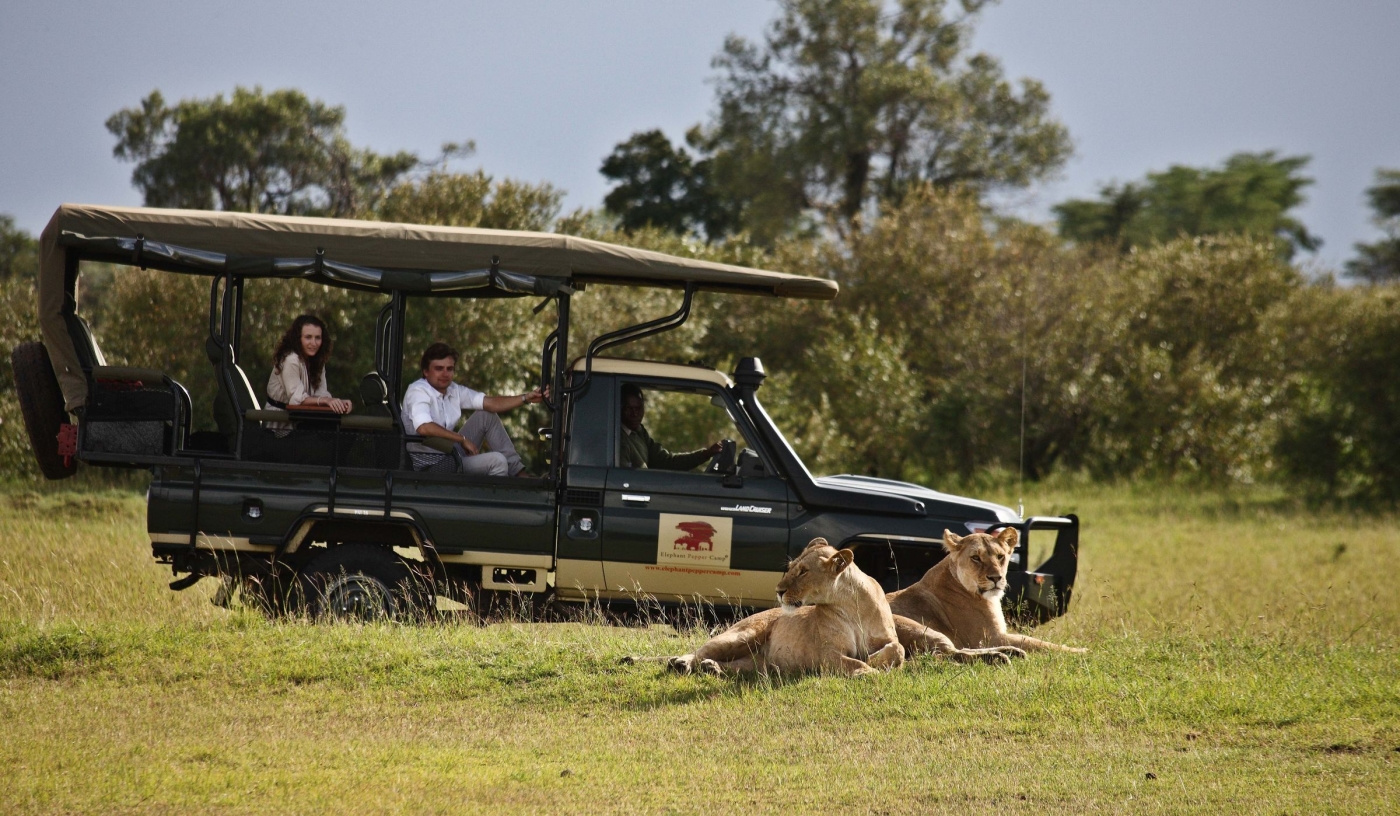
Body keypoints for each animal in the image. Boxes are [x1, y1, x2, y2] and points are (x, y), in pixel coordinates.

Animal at [887, 528, 1087, 654]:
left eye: (1000, 556)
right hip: (915, 627)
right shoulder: (991, 637)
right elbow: (1037, 643)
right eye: (976, 558)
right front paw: (1081, 651)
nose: (996, 578)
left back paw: (1011, 653)